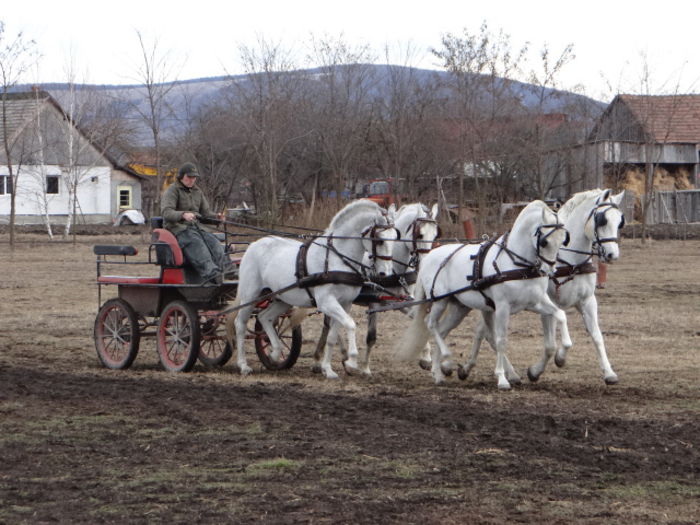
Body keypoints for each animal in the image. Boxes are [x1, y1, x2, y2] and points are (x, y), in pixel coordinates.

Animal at [226, 198, 396, 376]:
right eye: (380, 239)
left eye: (395, 237)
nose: (386, 273)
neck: (336, 258)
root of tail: (254, 244)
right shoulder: (326, 302)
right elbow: (350, 324)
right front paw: (352, 361)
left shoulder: (346, 303)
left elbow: (332, 336)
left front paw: (328, 369)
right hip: (251, 295)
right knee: (240, 324)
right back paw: (243, 365)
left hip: (282, 298)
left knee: (264, 317)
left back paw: (274, 353)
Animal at [400, 201, 568, 388]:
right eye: (545, 242)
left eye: (563, 240)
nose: (550, 271)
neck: (518, 265)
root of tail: (429, 257)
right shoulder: (502, 307)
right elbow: (501, 341)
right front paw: (502, 379)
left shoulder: (536, 303)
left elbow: (561, 315)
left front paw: (561, 356)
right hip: (440, 301)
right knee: (430, 324)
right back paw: (446, 358)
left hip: (459, 308)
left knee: (442, 330)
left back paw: (438, 373)